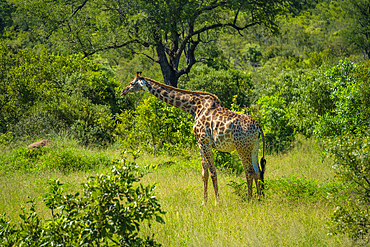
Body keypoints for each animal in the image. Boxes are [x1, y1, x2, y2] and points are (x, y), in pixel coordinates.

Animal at [122, 72, 266, 204]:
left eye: (132, 83)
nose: (123, 91)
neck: (194, 107)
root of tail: (258, 127)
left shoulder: (204, 142)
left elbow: (213, 172)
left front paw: (217, 201)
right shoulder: (200, 144)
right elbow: (204, 173)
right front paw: (204, 201)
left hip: (241, 147)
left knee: (249, 172)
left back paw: (249, 199)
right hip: (254, 147)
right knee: (258, 171)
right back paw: (259, 199)